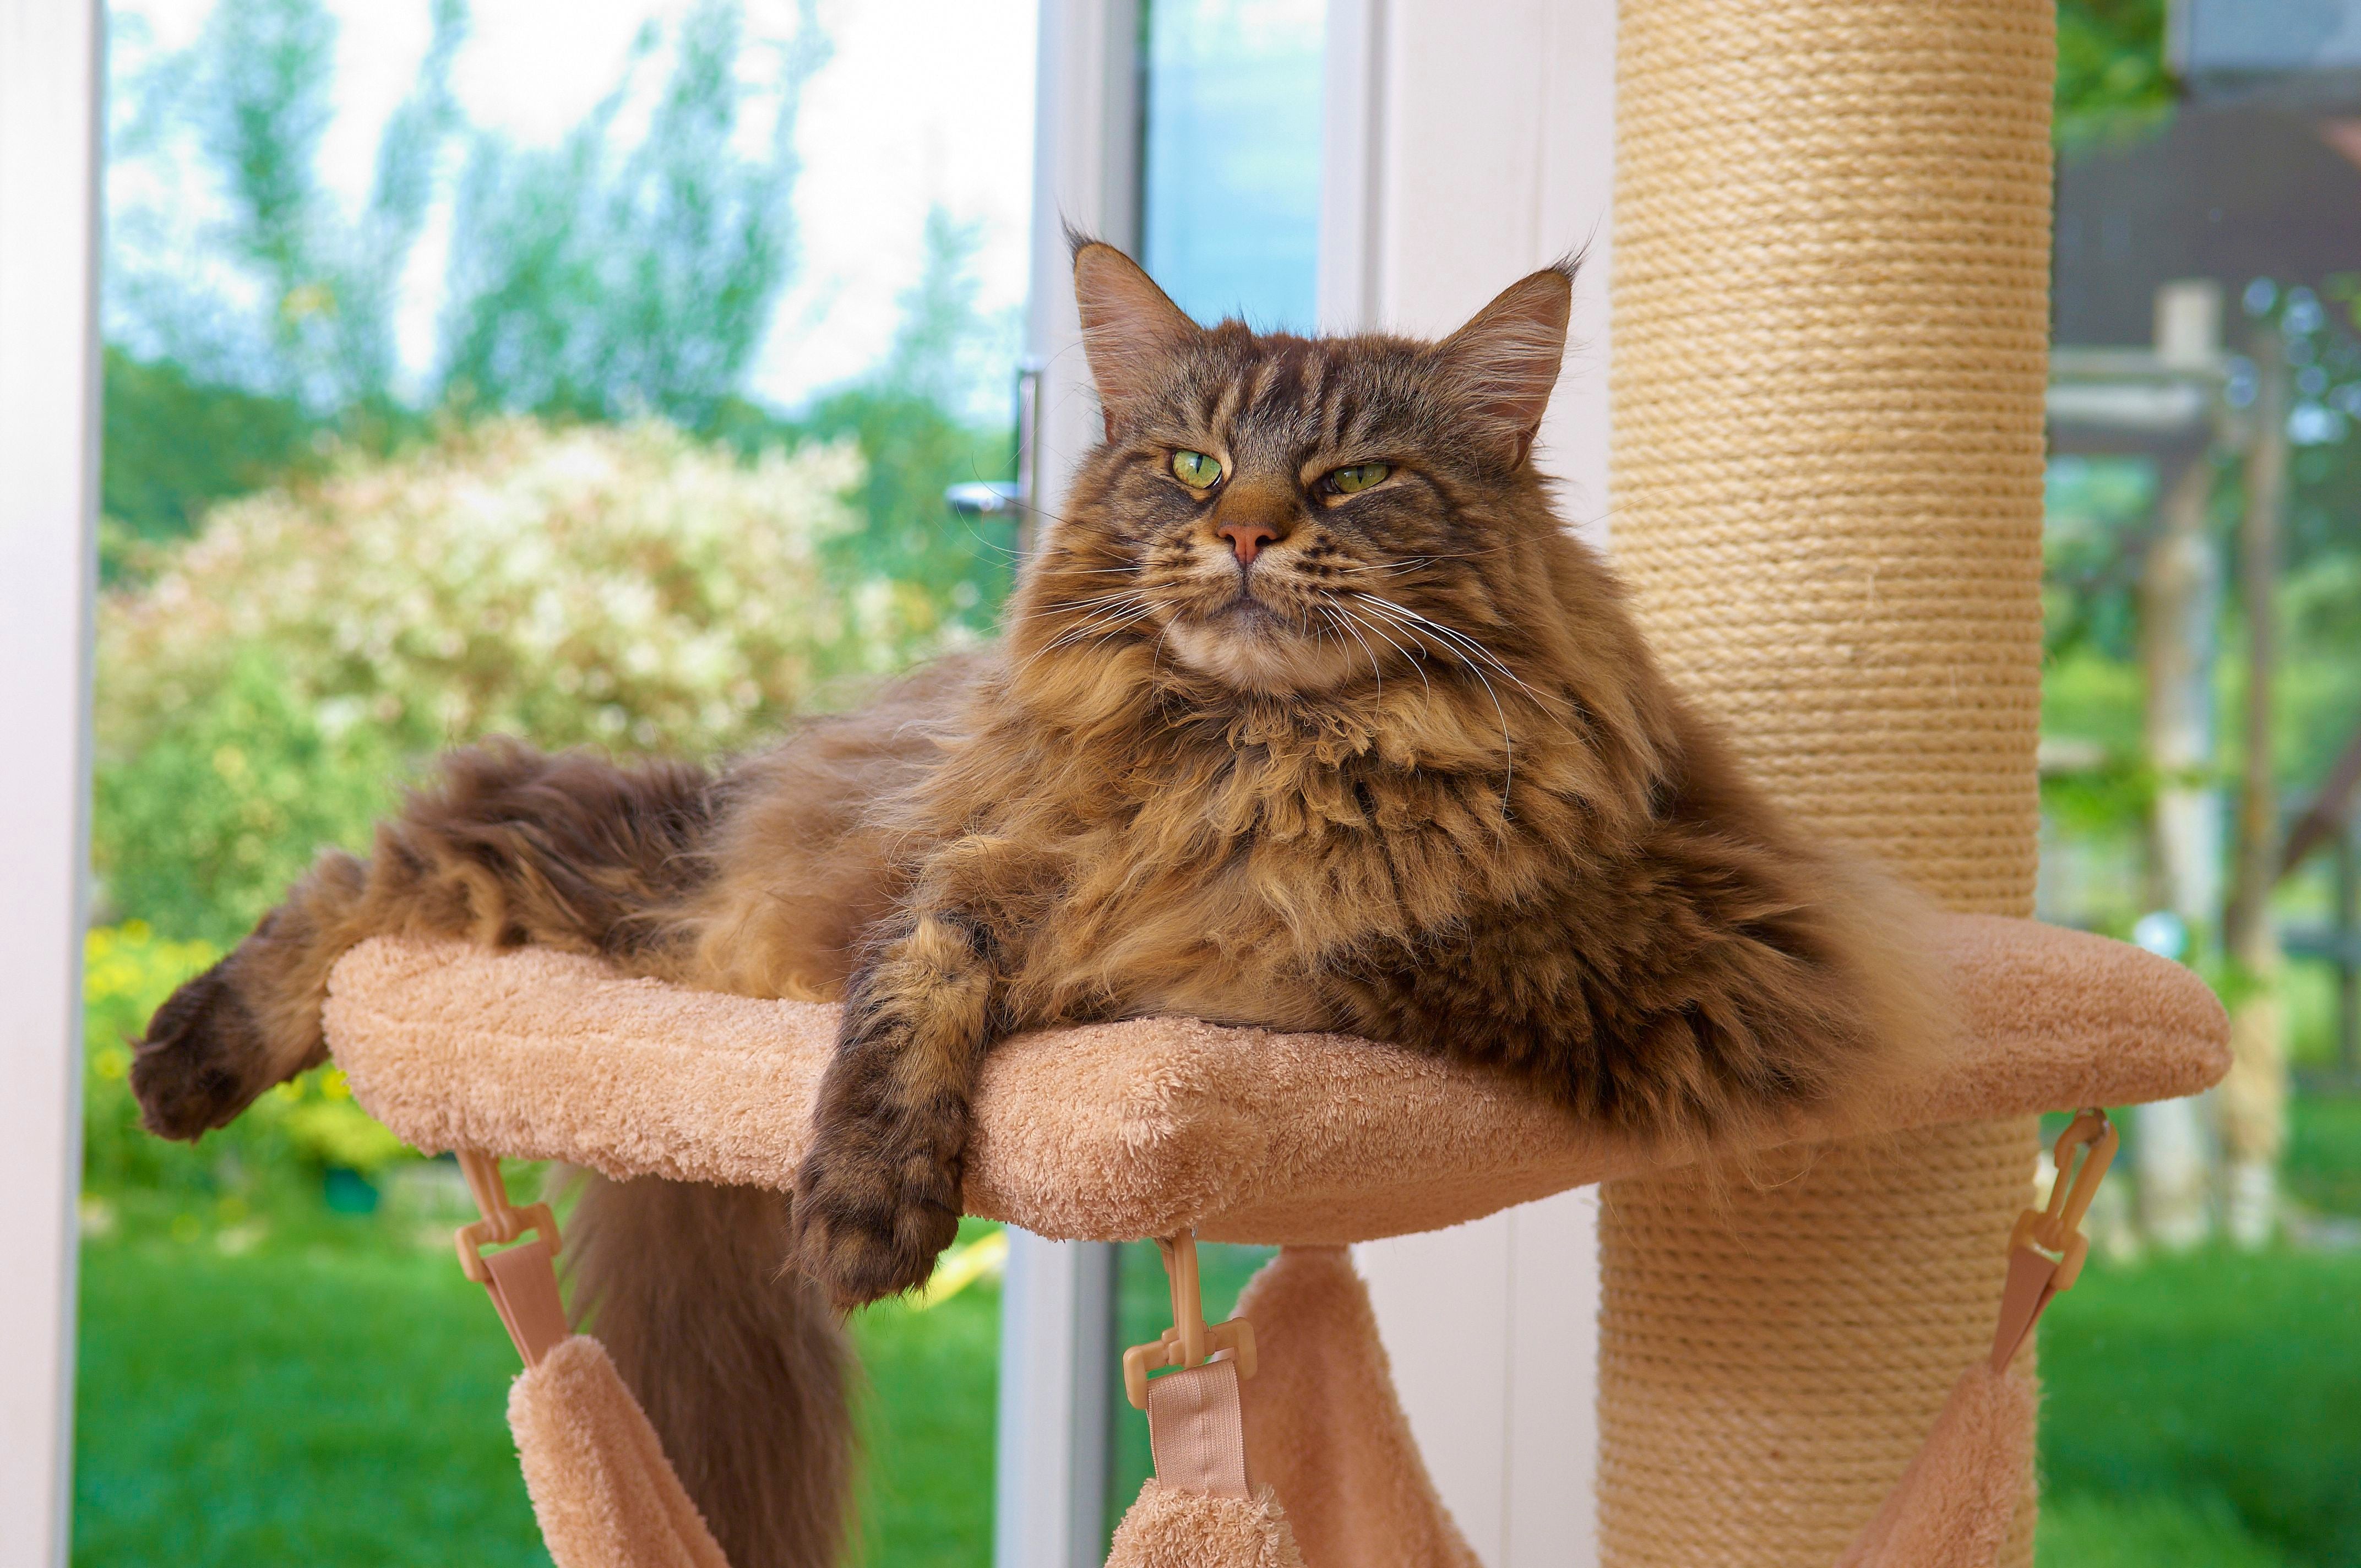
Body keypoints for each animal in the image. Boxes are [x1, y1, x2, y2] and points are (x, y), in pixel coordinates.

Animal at [129, 238, 1936, 1558]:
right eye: (1193, 462)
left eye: (1352, 480)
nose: (1247, 533)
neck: (1254, 755)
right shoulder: (974, 865)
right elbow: (922, 973)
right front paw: (868, 1202)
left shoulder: (1622, 946)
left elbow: (1301, 932)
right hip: (653, 878)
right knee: (421, 833)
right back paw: (188, 1052)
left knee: (445, 827)